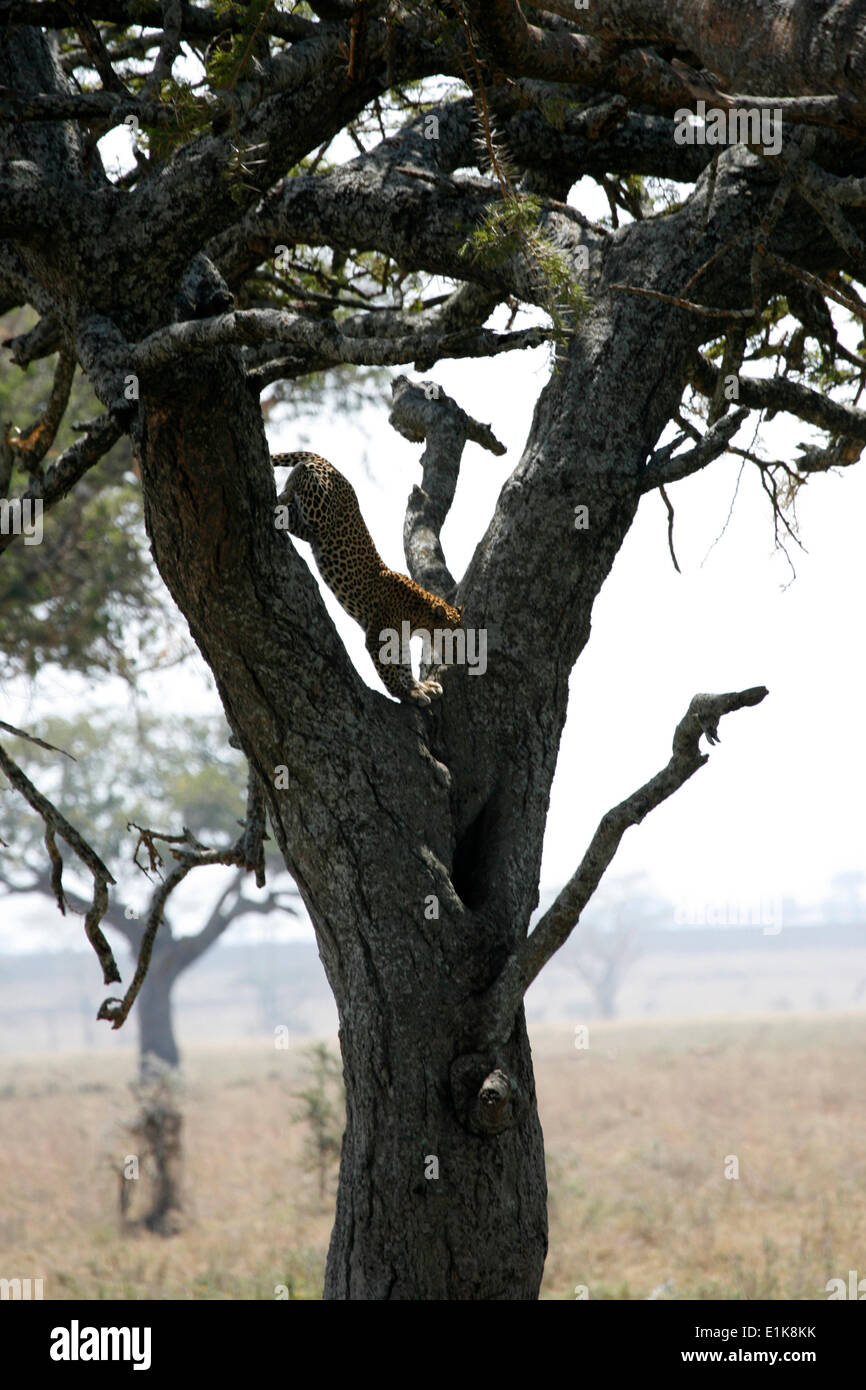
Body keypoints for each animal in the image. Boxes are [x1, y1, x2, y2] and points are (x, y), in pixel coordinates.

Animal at [274, 451, 463, 706]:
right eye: (454, 635)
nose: (461, 654)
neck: (419, 616)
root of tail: (330, 465)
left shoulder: (399, 640)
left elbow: (404, 665)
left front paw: (417, 687)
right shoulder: (376, 637)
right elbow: (389, 671)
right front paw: (405, 693)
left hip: (308, 528)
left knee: (290, 512)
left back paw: (286, 489)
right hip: (319, 514)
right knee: (296, 489)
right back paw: (291, 483)